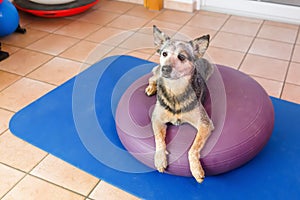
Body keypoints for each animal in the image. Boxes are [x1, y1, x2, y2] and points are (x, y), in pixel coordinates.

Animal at [146, 25, 214, 183]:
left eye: (181, 57)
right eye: (164, 53)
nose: (165, 68)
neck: (175, 90)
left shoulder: (205, 124)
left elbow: (193, 149)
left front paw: (196, 169)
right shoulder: (157, 119)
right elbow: (159, 139)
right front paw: (160, 158)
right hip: (157, 74)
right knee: (153, 77)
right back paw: (151, 88)